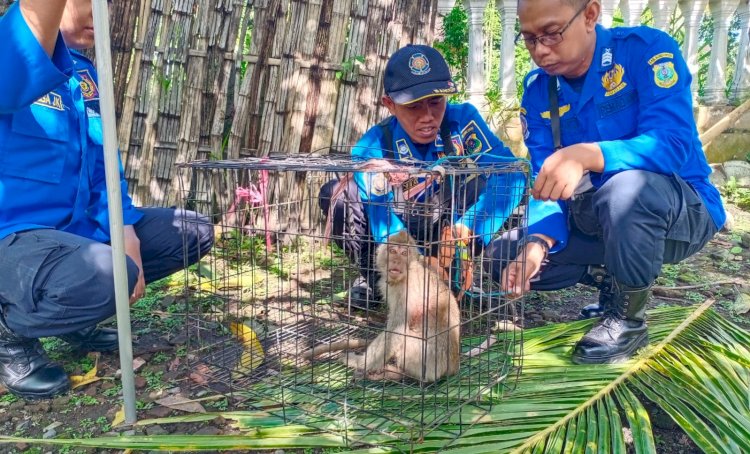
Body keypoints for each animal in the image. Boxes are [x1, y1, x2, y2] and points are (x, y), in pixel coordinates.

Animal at [176, 154, 528, 446]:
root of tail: (452, 367)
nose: (397, 262)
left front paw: (360, 364)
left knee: (408, 336)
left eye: (404, 253)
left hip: (429, 364)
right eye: (394, 251)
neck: (405, 272)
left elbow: (397, 329)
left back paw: (397, 375)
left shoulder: (405, 286)